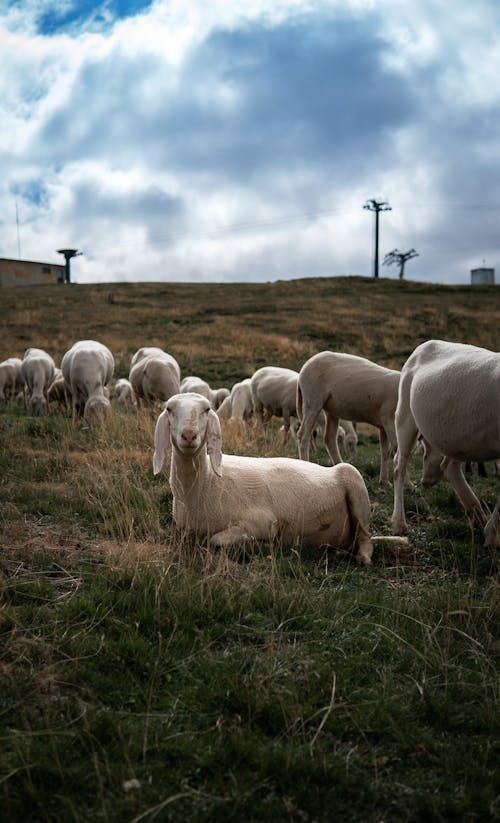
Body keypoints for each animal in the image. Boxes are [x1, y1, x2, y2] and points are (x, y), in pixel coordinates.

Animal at [151, 392, 376, 568]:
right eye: (169, 409)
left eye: (206, 409)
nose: (189, 435)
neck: (206, 483)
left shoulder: (263, 522)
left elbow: (216, 540)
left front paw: (261, 545)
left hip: (355, 483)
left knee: (366, 537)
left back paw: (361, 558)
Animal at [296, 350, 402, 486]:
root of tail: (304, 368)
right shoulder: (389, 420)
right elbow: (397, 449)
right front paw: (408, 485)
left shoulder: (383, 424)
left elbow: (385, 452)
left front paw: (384, 481)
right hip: (313, 401)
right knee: (303, 436)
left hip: (331, 409)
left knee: (329, 439)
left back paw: (340, 468)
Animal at [390, 338, 500, 552]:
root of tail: (425, 344)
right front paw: (492, 537)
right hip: (406, 414)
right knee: (400, 464)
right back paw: (399, 523)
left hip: (456, 437)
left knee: (448, 466)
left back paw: (476, 513)